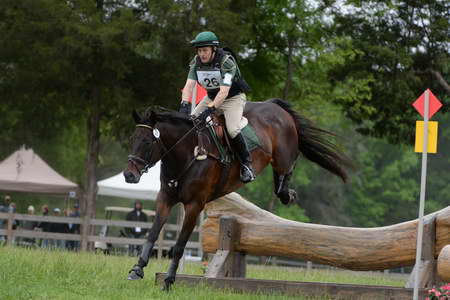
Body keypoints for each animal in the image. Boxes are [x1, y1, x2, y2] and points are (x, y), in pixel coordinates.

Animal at [123, 99, 352, 290]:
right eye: (132, 139)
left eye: (147, 142)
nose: (128, 175)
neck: (187, 153)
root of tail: (276, 105)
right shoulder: (165, 198)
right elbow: (152, 234)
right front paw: (137, 269)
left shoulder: (194, 205)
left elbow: (179, 245)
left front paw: (169, 281)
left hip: (283, 155)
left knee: (289, 164)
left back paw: (287, 193)